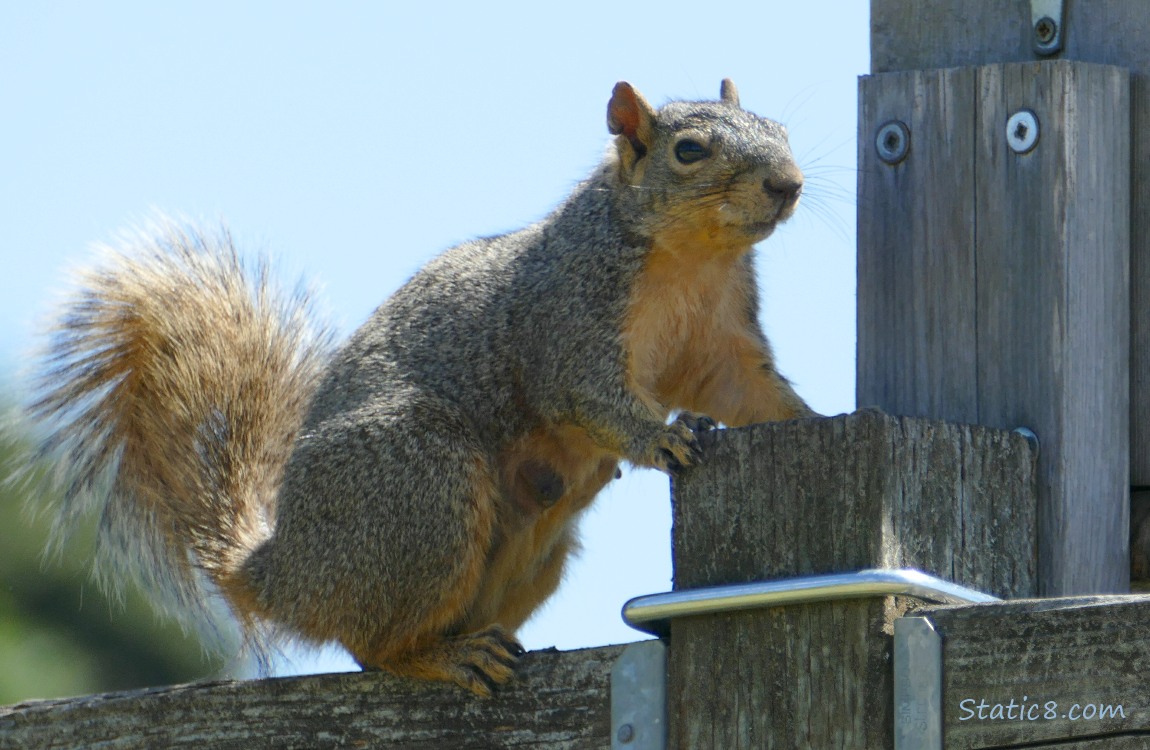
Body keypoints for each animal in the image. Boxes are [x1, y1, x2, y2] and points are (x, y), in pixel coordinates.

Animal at [29, 79, 818, 694]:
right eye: (689, 151)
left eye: (782, 131)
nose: (789, 184)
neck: (693, 262)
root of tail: (283, 575)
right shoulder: (567, 318)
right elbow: (586, 395)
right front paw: (662, 436)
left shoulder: (723, 344)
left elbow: (751, 395)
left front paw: (813, 416)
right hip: (422, 491)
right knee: (374, 648)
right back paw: (446, 659)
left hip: (532, 551)